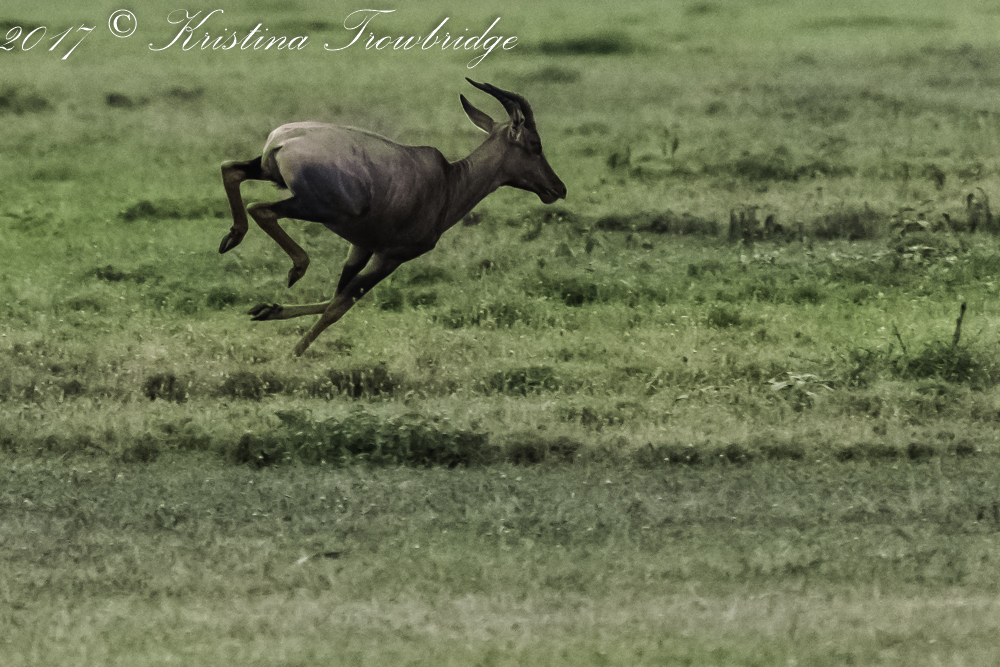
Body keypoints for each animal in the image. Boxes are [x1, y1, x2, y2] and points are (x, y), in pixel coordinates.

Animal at [219, 78, 566, 356]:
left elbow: (337, 295)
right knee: (260, 208)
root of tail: (284, 140)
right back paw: (295, 268)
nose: (558, 188)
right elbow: (340, 306)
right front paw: (293, 353)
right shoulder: (392, 256)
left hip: (269, 172)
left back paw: (232, 238)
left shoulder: (361, 246)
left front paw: (267, 310)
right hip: (321, 207)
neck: (448, 182)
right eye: (535, 144)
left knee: (231, 169)